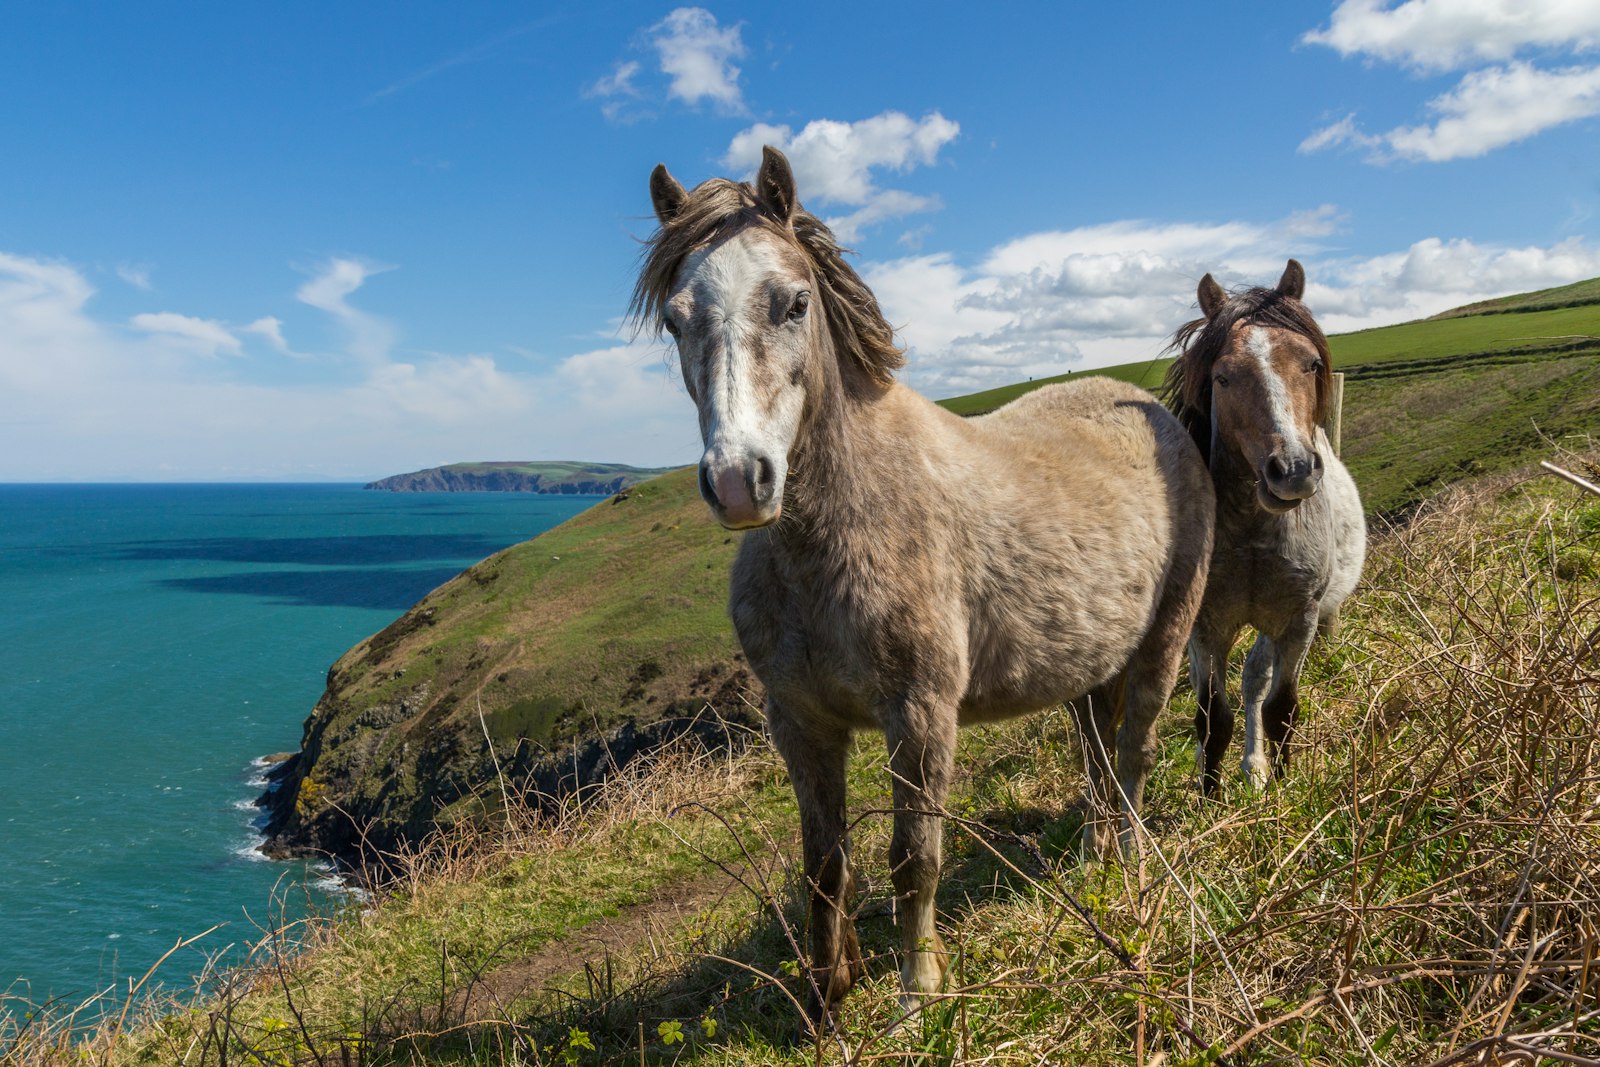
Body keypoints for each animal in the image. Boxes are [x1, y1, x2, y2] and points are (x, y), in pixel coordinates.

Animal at [633, 150, 1209, 1023]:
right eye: (676, 318)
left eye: (793, 302)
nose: (738, 481)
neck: (830, 540)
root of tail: (1150, 407)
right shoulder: (800, 723)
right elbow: (823, 864)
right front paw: (827, 997)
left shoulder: (920, 712)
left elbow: (914, 857)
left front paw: (917, 994)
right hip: (1084, 669)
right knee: (1098, 757)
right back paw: (1095, 855)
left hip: (1164, 640)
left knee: (1135, 754)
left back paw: (1134, 868)